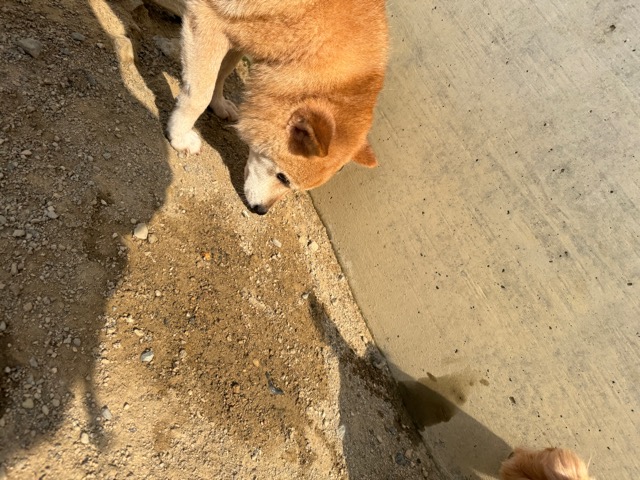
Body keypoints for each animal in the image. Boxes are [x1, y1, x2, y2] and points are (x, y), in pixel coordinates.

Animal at [166, 0, 389, 214]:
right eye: (283, 178)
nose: (261, 211)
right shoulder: (208, 17)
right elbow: (199, 96)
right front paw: (179, 137)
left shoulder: (239, 34)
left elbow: (223, 71)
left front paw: (219, 103)